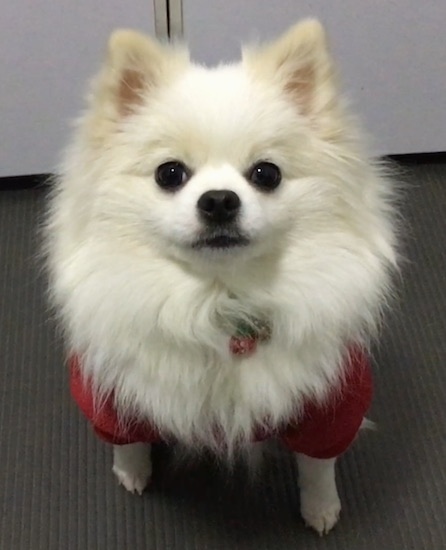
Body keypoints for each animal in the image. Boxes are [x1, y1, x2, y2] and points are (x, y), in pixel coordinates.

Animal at [46, 20, 398, 536]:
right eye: (170, 173)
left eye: (266, 173)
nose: (218, 200)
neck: (218, 299)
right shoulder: (110, 388)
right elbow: (127, 440)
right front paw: (132, 472)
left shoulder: (332, 404)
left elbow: (318, 466)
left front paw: (321, 507)